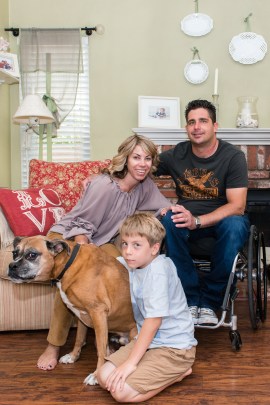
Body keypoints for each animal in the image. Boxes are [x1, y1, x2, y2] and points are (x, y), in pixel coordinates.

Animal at [7, 235, 137, 384]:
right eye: (14, 253)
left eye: (32, 255)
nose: (11, 266)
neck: (68, 263)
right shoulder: (81, 315)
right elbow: (79, 339)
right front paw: (73, 356)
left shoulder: (98, 313)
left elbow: (101, 350)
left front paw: (96, 375)